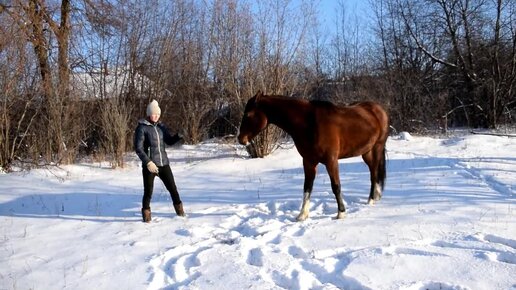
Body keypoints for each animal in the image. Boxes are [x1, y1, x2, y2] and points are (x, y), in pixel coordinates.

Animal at [237, 92, 388, 221]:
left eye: (248, 114)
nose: (241, 139)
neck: (310, 123)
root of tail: (378, 109)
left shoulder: (331, 161)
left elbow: (336, 186)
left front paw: (341, 213)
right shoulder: (308, 161)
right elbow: (307, 186)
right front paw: (302, 215)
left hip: (377, 148)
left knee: (374, 174)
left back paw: (371, 199)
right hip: (366, 152)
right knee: (373, 172)